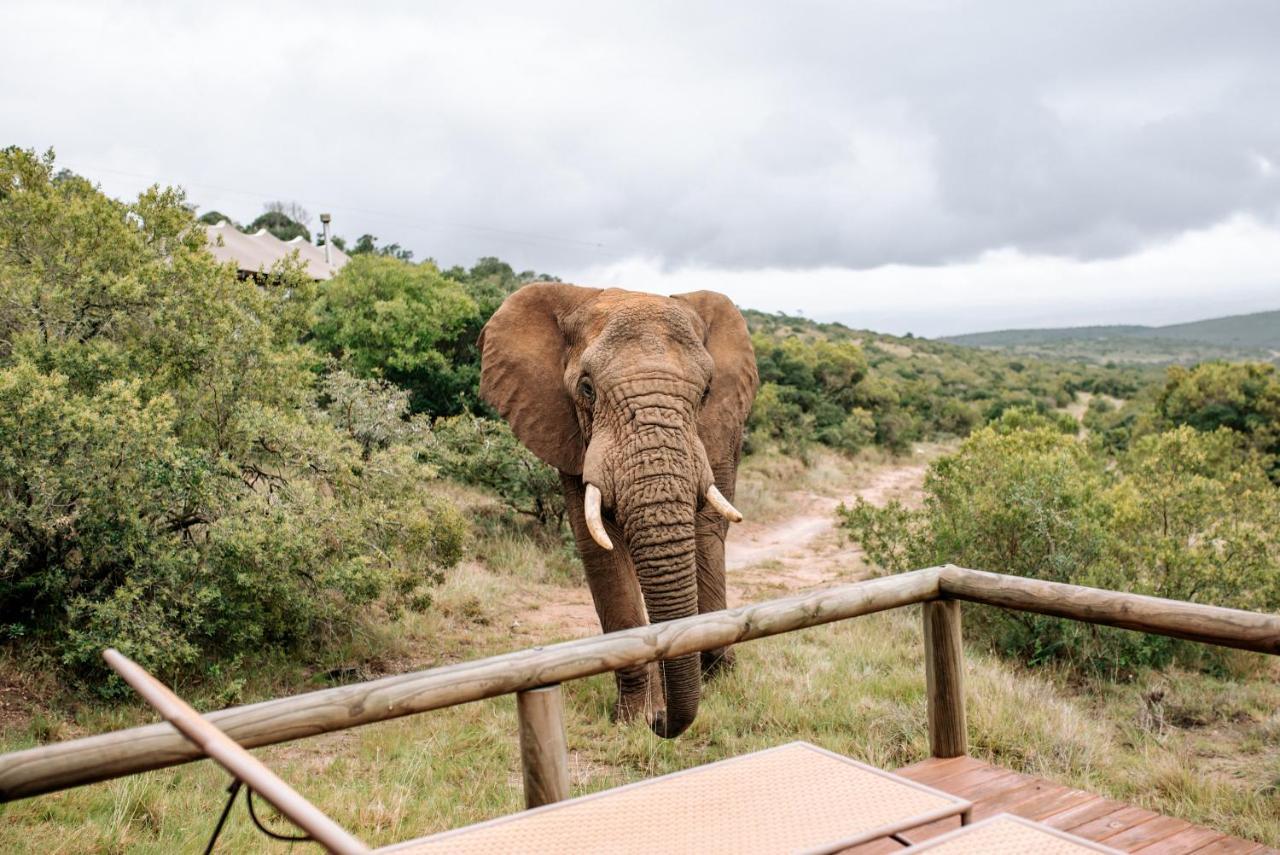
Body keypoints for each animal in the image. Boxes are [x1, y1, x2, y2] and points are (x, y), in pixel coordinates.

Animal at [481, 284, 757, 737]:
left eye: (705, 392)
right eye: (587, 389)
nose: (662, 722)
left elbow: (702, 528)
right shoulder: (568, 432)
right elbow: (600, 548)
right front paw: (634, 719)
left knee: (710, 534)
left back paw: (719, 673)